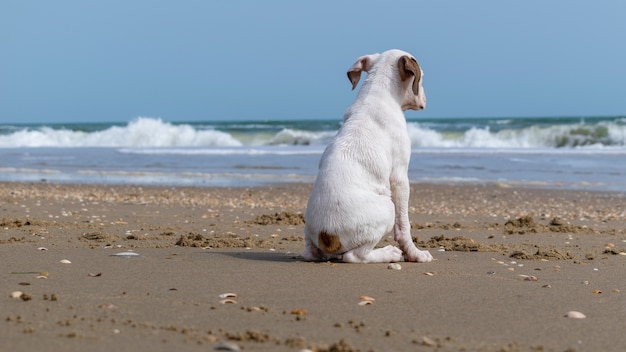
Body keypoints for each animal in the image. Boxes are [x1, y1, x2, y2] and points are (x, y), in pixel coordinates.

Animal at [304, 49, 434, 264]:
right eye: (421, 76)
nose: (425, 99)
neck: (377, 92)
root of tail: (327, 236)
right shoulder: (400, 178)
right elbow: (404, 225)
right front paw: (415, 254)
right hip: (388, 208)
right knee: (355, 256)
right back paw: (389, 253)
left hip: (309, 233)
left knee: (310, 253)